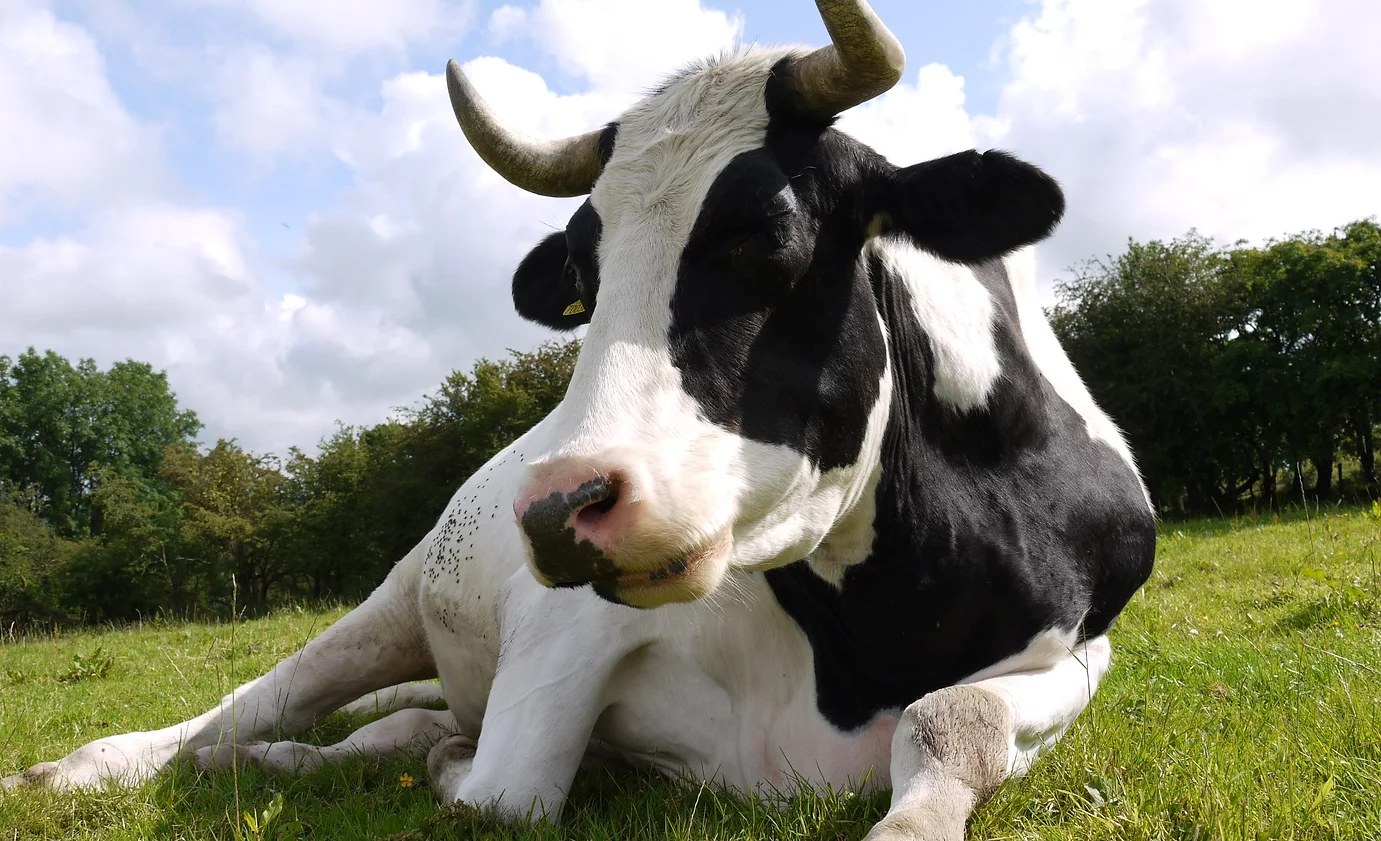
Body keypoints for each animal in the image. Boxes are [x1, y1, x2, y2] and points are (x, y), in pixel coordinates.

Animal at [2, 2, 1156, 839]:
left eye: (769, 237)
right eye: (584, 280)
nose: (559, 509)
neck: (869, 628)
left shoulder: (1082, 651)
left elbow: (954, 718)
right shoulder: (567, 630)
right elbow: (504, 792)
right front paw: (452, 767)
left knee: (381, 720)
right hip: (395, 598)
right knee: (264, 700)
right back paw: (105, 766)